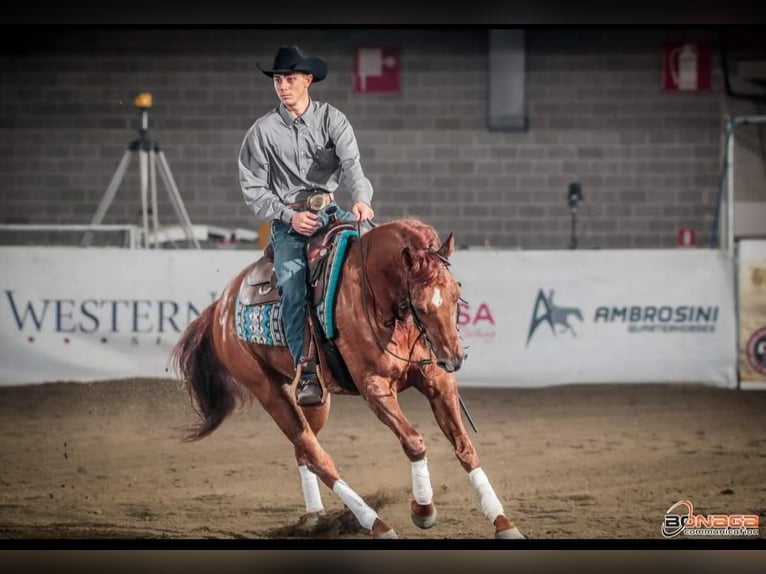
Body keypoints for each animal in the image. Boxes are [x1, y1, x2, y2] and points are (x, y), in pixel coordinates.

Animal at [171, 218, 524, 544]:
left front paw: (503, 522)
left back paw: (316, 518)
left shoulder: (437, 380)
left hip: (316, 399)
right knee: (318, 457)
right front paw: (423, 510)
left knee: (304, 453)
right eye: (421, 305)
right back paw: (377, 524)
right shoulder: (375, 388)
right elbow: (414, 442)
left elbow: (464, 447)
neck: (379, 299)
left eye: (457, 293)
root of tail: (222, 305)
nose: (454, 358)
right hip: (267, 390)